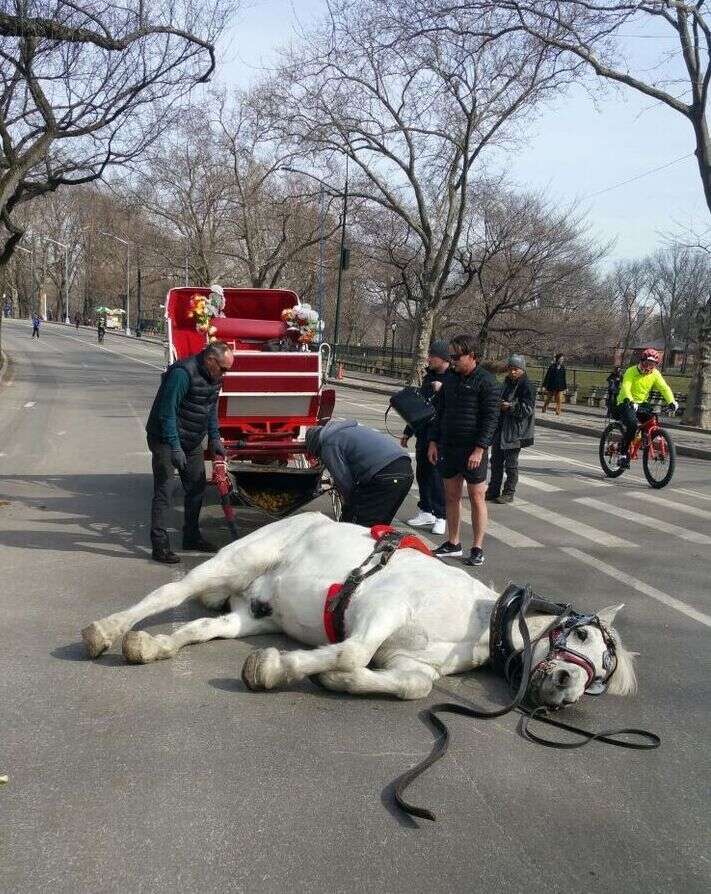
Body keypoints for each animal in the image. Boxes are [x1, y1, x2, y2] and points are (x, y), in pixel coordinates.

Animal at [83, 516, 640, 712]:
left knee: (203, 626)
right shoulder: (384, 607)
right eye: (584, 636)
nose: (567, 688)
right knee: (170, 593)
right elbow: (352, 650)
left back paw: (151, 645)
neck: (475, 620)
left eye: (599, 680)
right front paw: (276, 667)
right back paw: (107, 631)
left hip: (254, 614)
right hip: (234, 562)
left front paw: (334, 681)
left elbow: (411, 686)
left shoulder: (409, 664)